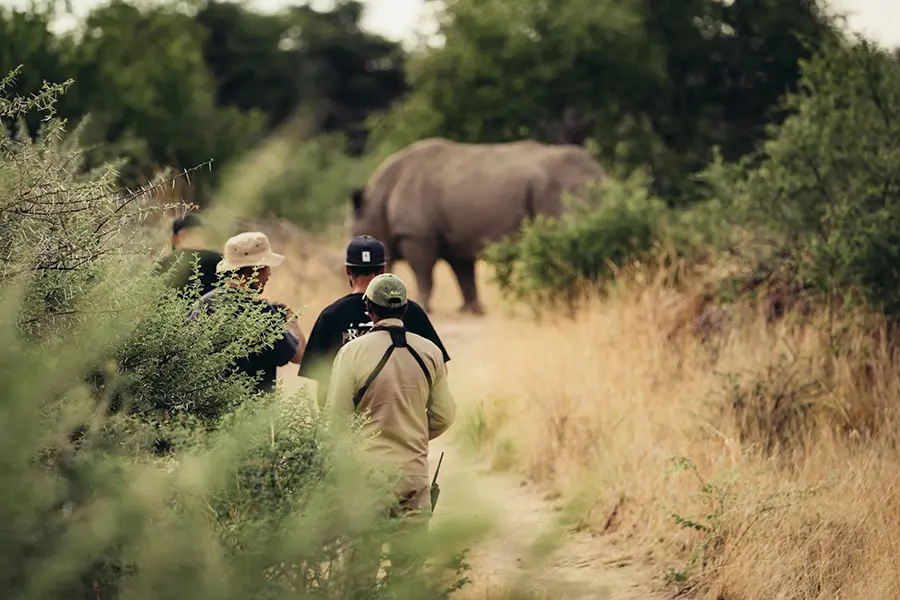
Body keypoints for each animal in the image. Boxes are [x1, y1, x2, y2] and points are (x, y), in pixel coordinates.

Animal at [349, 137, 607, 314]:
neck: (376, 201)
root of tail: (601, 174)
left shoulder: (416, 235)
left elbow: (423, 273)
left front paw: (422, 305)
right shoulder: (456, 239)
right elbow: (464, 275)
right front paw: (471, 310)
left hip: (565, 187)